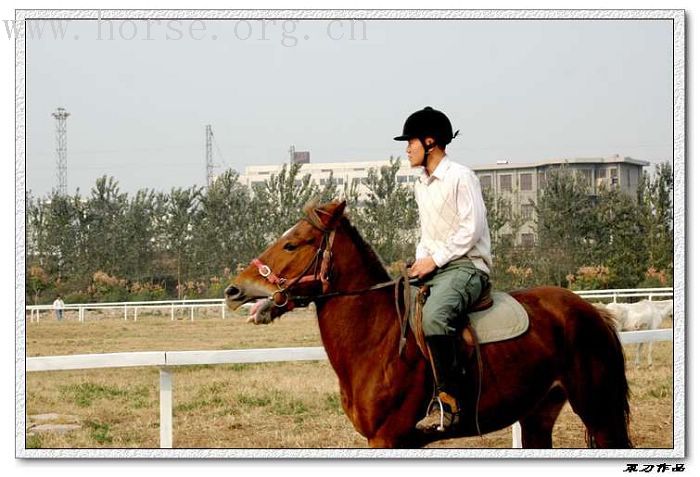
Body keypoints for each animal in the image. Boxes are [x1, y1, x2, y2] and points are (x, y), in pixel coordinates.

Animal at [227, 203, 632, 448]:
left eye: (293, 244)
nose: (234, 290)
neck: (377, 339)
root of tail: (591, 312)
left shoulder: (387, 438)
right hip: (538, 413)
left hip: (598, 412)